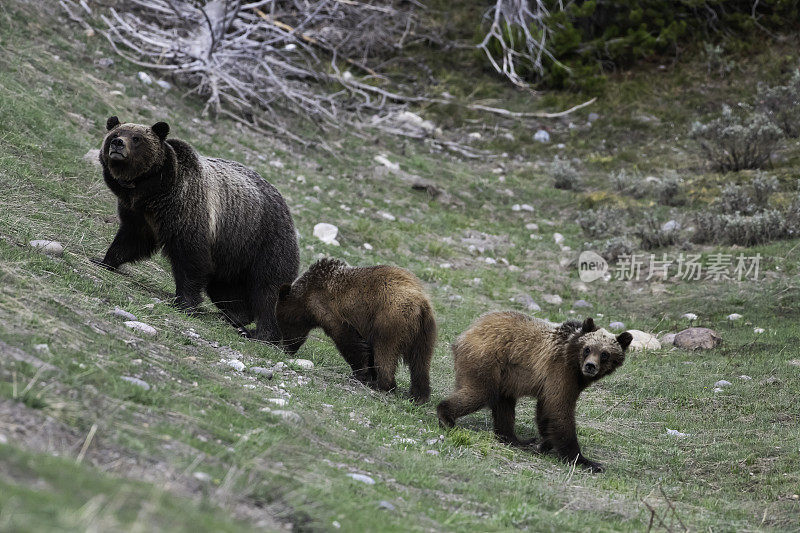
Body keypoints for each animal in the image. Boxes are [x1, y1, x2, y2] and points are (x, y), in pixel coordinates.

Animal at [94, 116, 298, 340]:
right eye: (116, 133)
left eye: (136, 138)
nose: (117, 144)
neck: (152, 192)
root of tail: (285, 205)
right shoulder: (140, 216)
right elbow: (130, 240)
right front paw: (104, 260)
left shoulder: (187, 210)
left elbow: (190, 259)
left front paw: (184, 302)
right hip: (232, 253)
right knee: (226, 289)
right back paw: (233, 317)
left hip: (265, 241)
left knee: (268, 290)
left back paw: (259, 332)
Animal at [276, 258, 438, 404]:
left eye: (283, 326)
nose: (287, 348)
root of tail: (420, 304)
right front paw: (368, 374)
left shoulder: (333, 312)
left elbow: (349, 342)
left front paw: (361, 374)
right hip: (425, 333)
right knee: (420, 362)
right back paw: (419, 395)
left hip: (390, 320)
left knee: (386, 353)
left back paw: (383, 385)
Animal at [438, 312, 632, 470]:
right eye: (588, 349)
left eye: (605, 354)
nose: (590, 366)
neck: (572, 359)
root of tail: (467, 332)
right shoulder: (560, 371)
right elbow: (560, 410)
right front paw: (585, 461)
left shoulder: (557, 382)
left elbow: (546, 410)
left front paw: (545, 443)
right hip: (486, 360)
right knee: (480, 393)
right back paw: (446, 417)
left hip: (504, 376)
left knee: (504, 405)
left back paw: (515, 439)